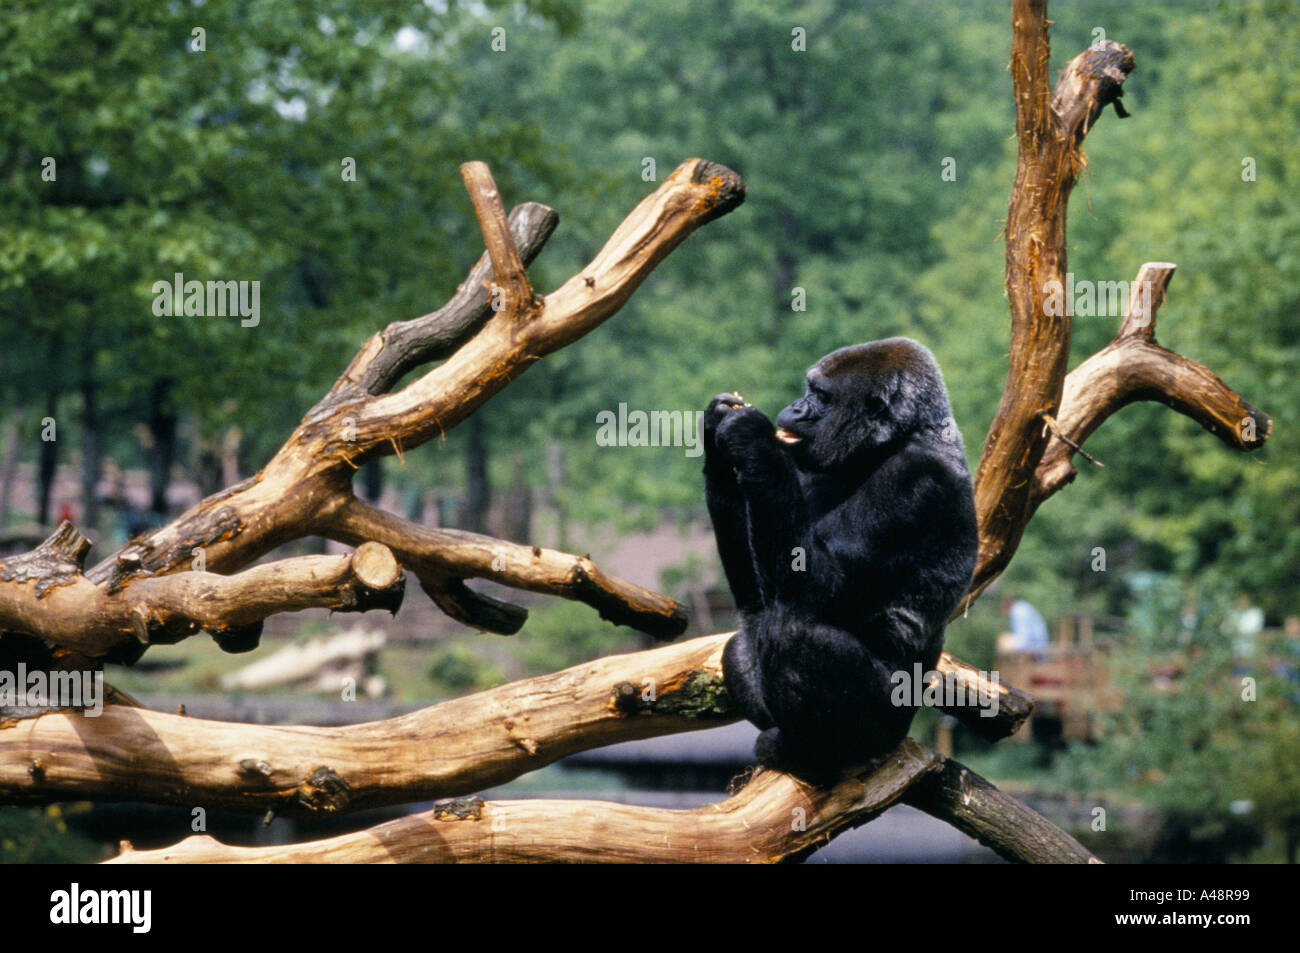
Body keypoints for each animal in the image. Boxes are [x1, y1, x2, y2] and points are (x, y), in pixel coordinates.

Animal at [712, 335, 977, 780]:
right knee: (742, 643)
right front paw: (714, 437)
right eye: (809, 391)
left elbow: (818, 582)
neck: (897, 438)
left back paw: (815, 754)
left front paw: (752, 437)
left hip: (885, 730)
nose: (796, 407)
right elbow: (759, 594)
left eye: (819, 395)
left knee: (794, 635)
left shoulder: (915, 478)